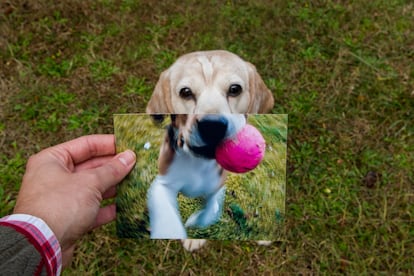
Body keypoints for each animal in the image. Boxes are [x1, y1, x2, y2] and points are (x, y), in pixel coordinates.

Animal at [146, 49, 274, 250]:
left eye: (235, 89)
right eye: (185, 92)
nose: (212, 126)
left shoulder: (218, 185)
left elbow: (211, 209)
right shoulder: (162, 183)